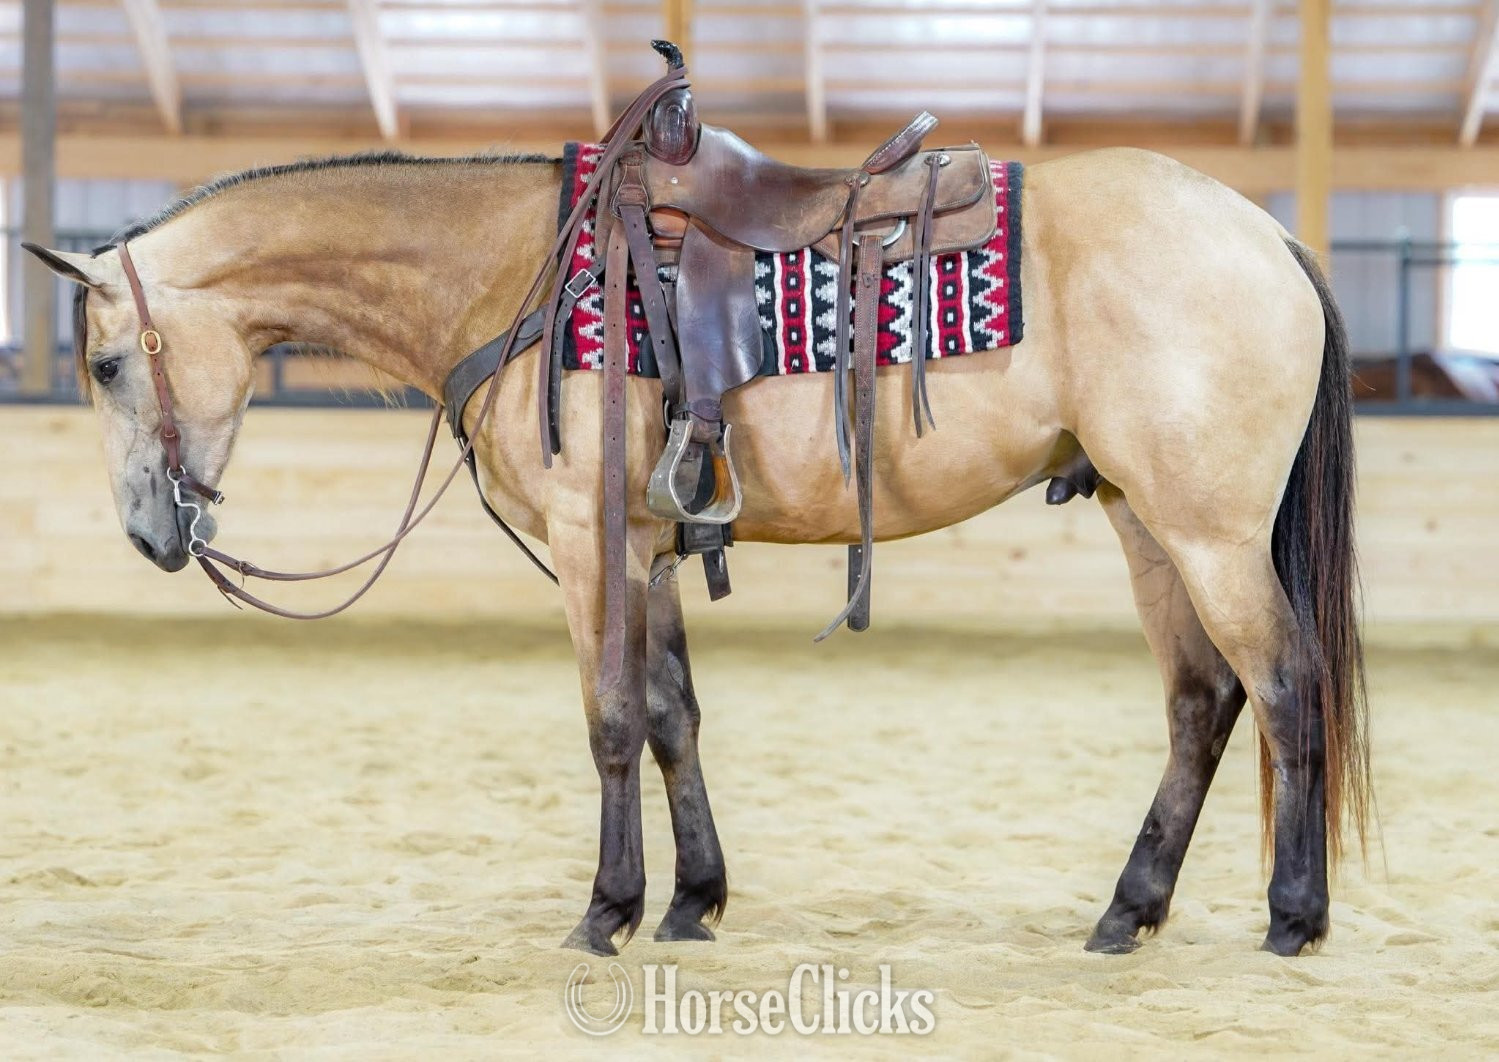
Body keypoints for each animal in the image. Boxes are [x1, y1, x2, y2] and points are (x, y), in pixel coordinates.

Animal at [28, 139, 1369, 959]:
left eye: (108, 363)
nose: (151, 532)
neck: (513, 275)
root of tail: (1264, 238)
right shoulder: (650, 552)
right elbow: (675, 718)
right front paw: (690, 903)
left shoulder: (591, 546)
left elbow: (613, 722)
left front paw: (605, 912)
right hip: (1142, 519)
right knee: (1200, 703)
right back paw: (1124, 915)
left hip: (1205, 532)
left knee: (1283, 685)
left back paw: (1292, 918)